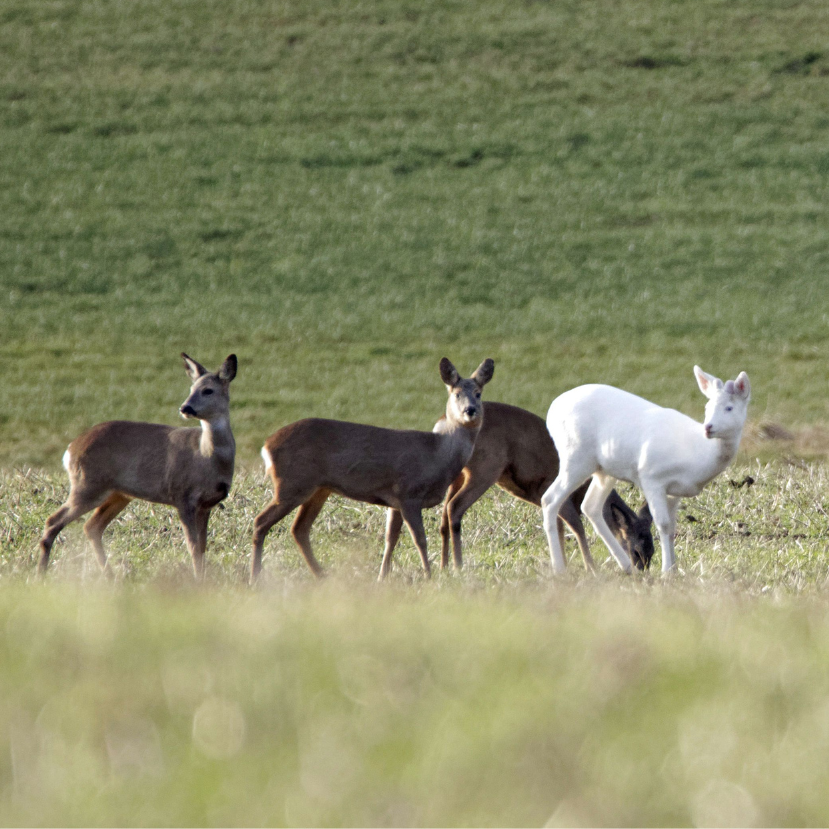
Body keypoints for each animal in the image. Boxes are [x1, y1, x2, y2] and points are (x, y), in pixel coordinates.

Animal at [38, 352, 236, 580]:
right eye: (191, 388)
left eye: (208, 390)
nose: (185, 408)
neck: (207, 457)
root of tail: (70, 449)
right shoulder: (182, 496)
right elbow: (193, 547)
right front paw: (197, 579)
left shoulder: (206, 505)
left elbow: (202, 547)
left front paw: (204, 577)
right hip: (88, 485)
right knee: (53, 520)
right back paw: (40, 573)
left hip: (118, 494)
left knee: (91, 526)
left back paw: (110, 575)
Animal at [246, 358, 492, 584]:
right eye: (456, 394)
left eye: (478, 393)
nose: (470, 410)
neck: (438, 454)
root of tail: (266, 447)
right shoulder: (409, 492)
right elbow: (419, 538)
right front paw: (428, 575)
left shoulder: (395, 501)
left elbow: (390, 538)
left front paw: (382, 577)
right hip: (292, 484)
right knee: (261, 521)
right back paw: (255, 577)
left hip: (318, 489)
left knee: (299, 529)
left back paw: (321, 575)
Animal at [436, 404, 652, 572]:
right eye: (636, 552)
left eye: (652, 551)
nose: (642, 572)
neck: (583, 489)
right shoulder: (553, 490)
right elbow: (577, 527)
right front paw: (591, 568)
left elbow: (558, 528)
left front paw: (564, 566)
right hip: (485, 468)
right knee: (454, 507)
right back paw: (457, 566)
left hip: (459, 474)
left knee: (444, 513)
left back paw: (443, 566)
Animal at [536, 366, 752, 572]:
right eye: (707, 407)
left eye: (729, 407)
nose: (708, 427)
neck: (696, 456)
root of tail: (551, 411)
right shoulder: (651, 477)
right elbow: (663, 524)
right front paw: (666, 571)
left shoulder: (675, 491)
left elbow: (672, 528)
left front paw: (674, 569)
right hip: (576, 457)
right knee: (550, 499)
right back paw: (559, 568)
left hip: (603, 470)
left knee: (590, 505)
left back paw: (626, 566)